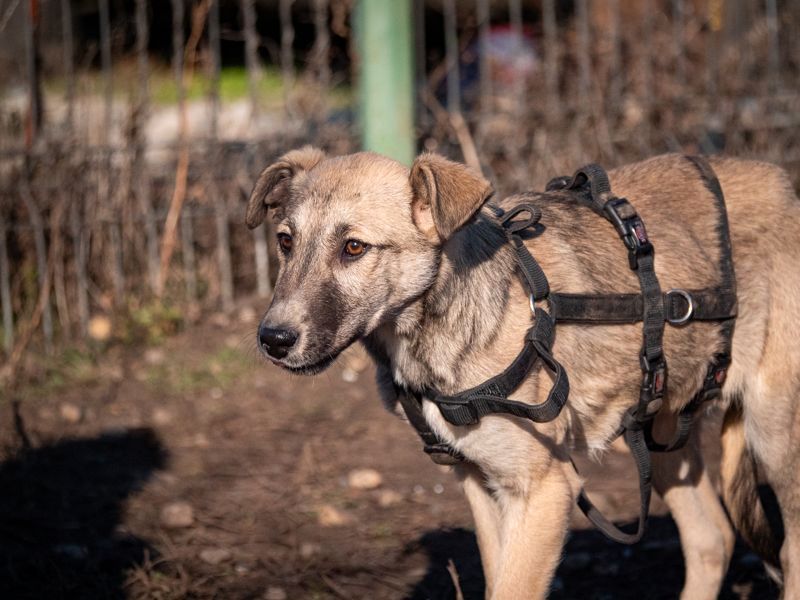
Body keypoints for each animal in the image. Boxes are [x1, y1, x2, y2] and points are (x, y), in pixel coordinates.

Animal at [247, 146, 796, 600]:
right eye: (285, 242)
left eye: (354, 248)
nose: (273, 340)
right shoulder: (481, 482)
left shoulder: (544, 491)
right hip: (658, 433)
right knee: (712, 539)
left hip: (774, 436)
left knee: (788, 551)